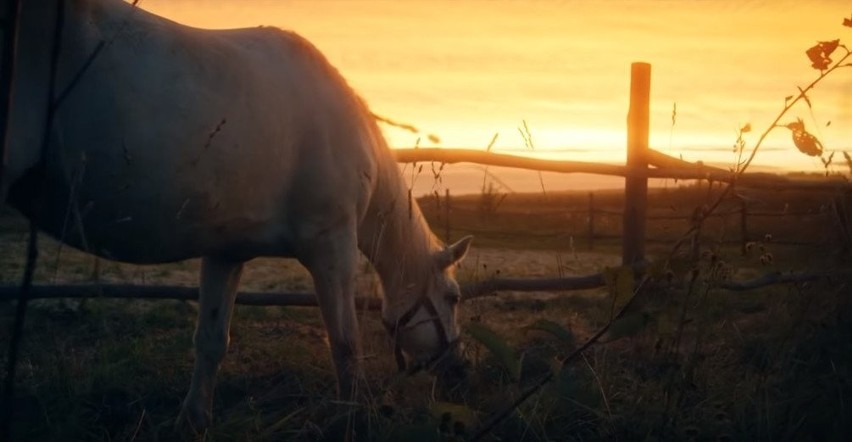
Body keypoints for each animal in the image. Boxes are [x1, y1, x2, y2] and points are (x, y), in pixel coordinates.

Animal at [0, 0, 470, 430]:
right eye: (453, 297)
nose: (461, 372)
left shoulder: (225, 252)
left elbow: (211, 341)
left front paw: (193, 421)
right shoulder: (332, 248)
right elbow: (345, 344)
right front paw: (352, 418)